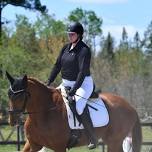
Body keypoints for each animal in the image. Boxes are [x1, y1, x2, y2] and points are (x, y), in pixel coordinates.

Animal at [5, 72, 141, 152]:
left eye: (20, 96)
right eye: (9, 94)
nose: (12, 120)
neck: (43, 113)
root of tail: (130, 107)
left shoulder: (59, 147)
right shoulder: (33, 144)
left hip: (114, 142)